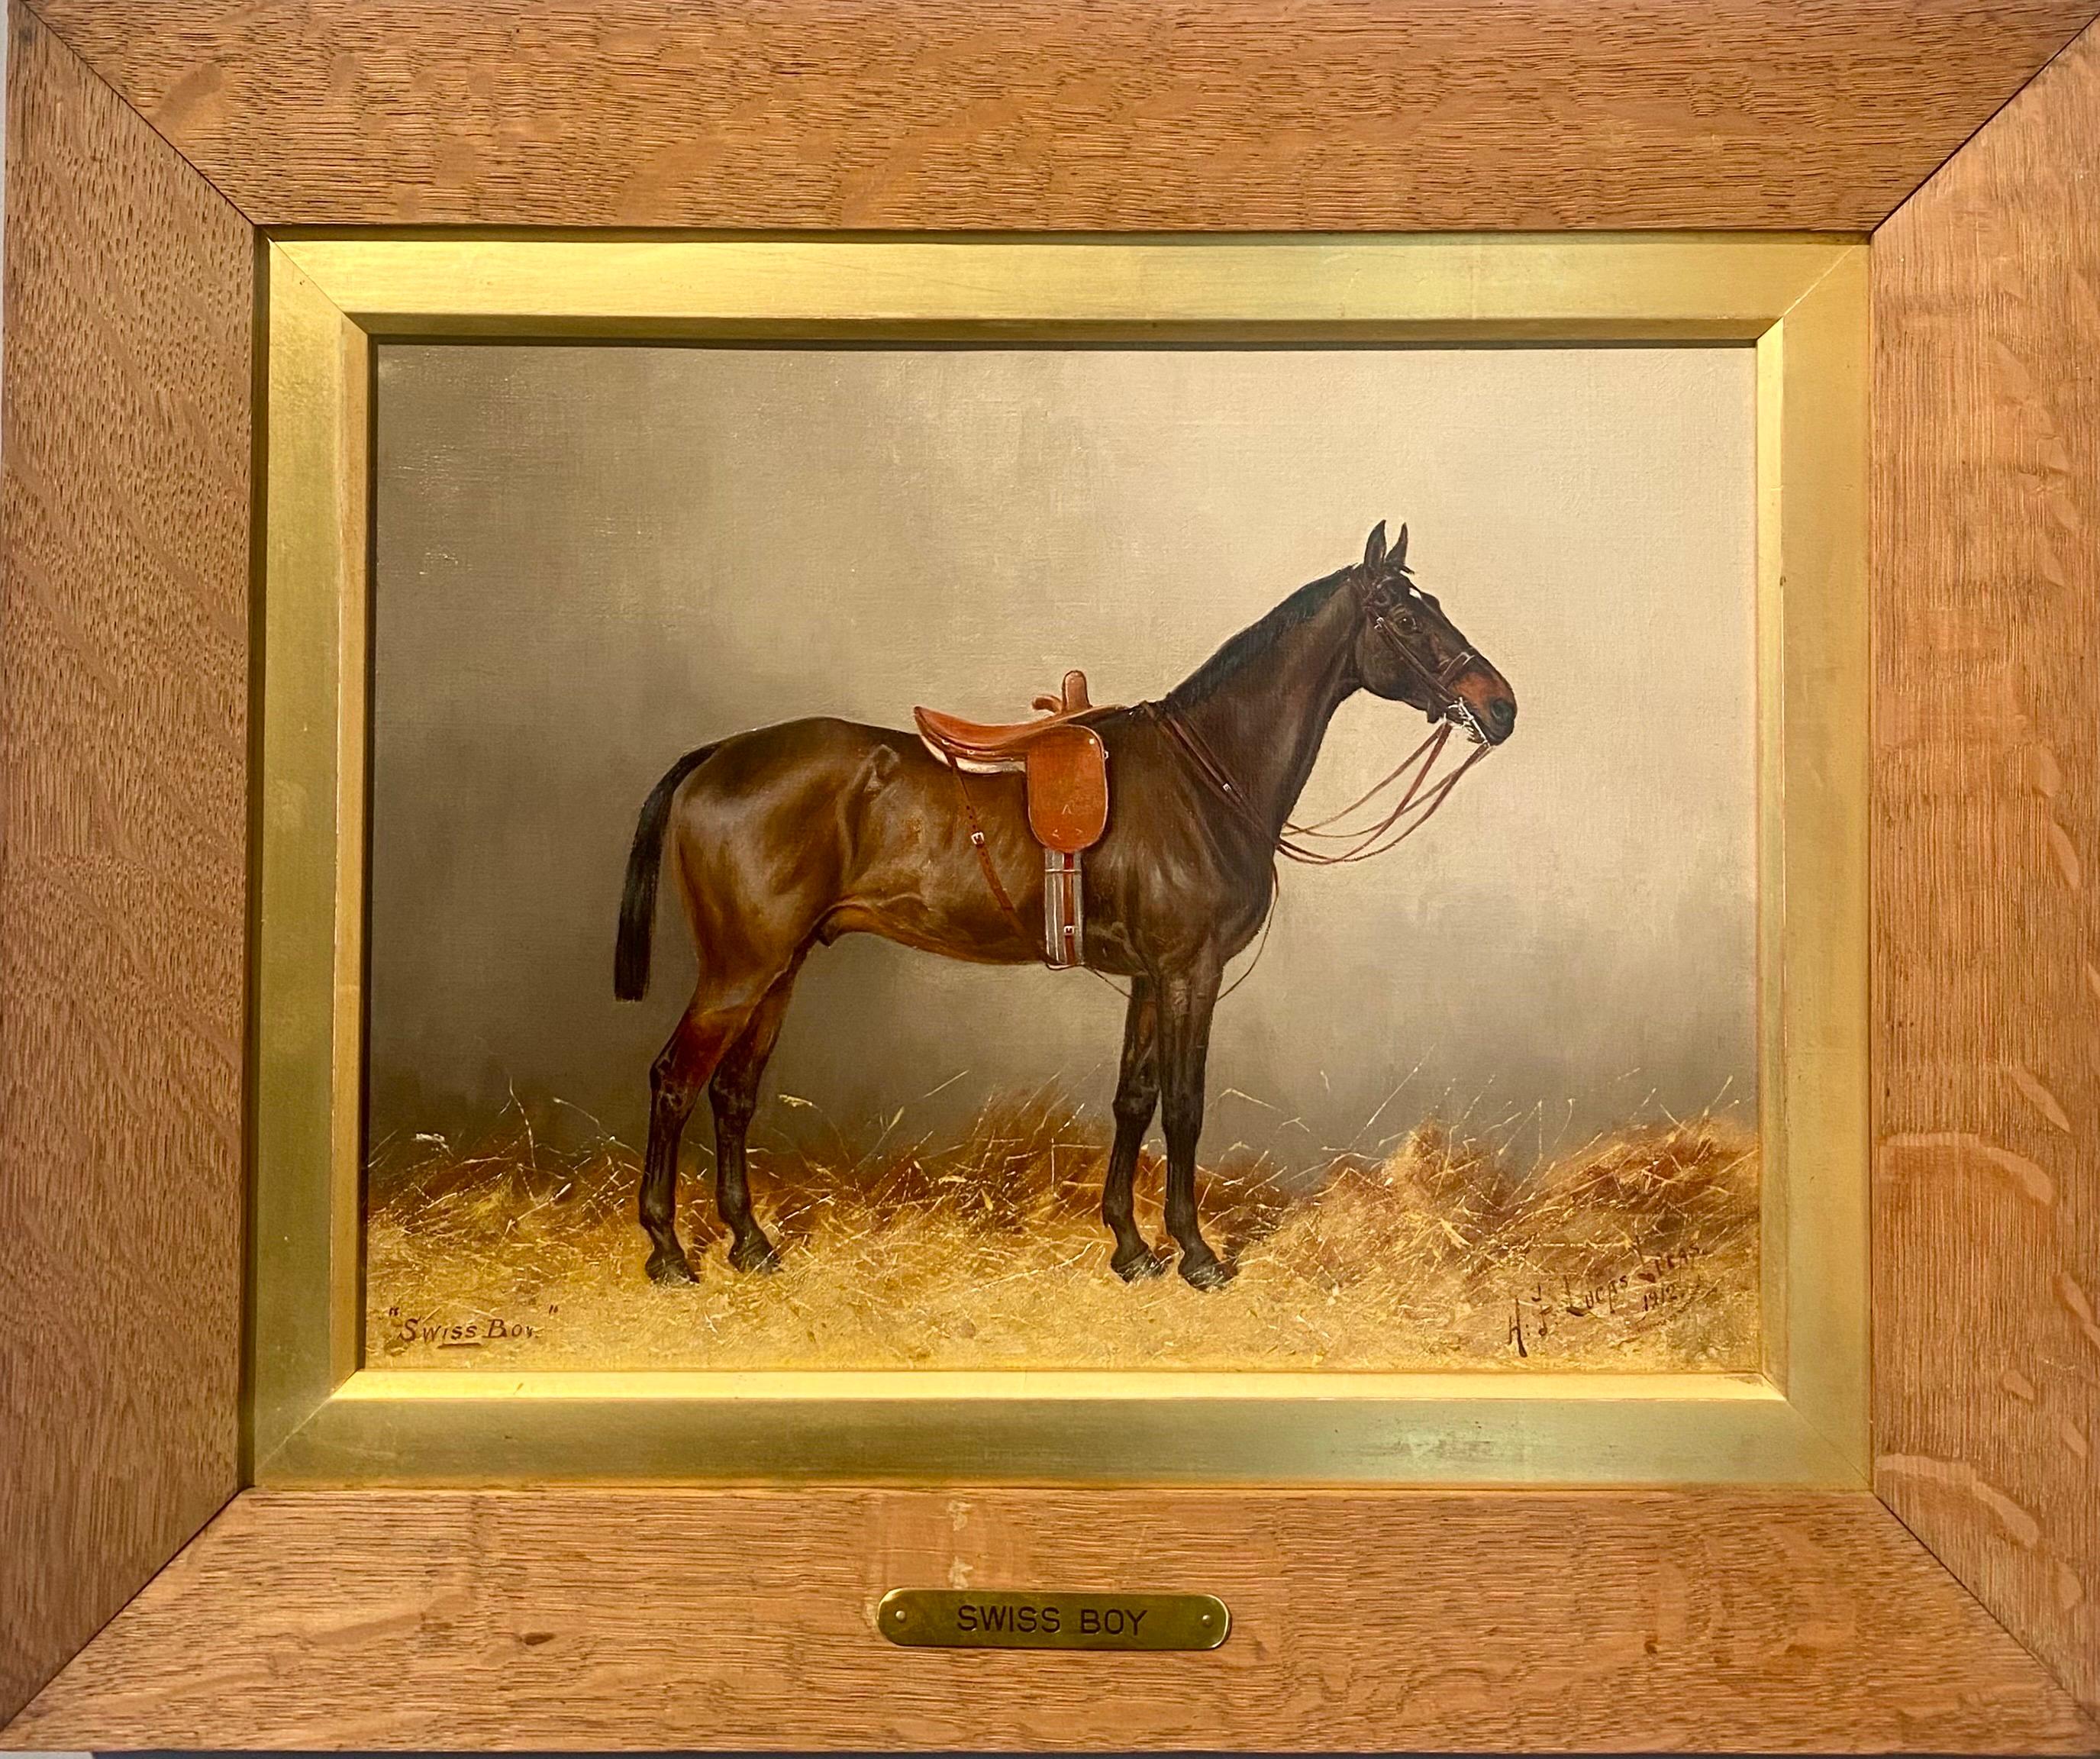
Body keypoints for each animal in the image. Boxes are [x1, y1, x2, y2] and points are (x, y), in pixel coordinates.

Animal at [613, 522, 1520, 1293]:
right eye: (1404, 617)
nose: (1501, 705)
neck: (1207, 775)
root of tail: (716, 757)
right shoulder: (1190, 973)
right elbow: (1184, 1108)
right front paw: (1195, 1253)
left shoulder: (1151, 977)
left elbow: (1134, 1099)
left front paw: (1130, 1247)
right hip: (741, 969)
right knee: (674, 1081)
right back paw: (667, 1251)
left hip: (782, 967)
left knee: (734, 1092)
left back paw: (750, 1243)